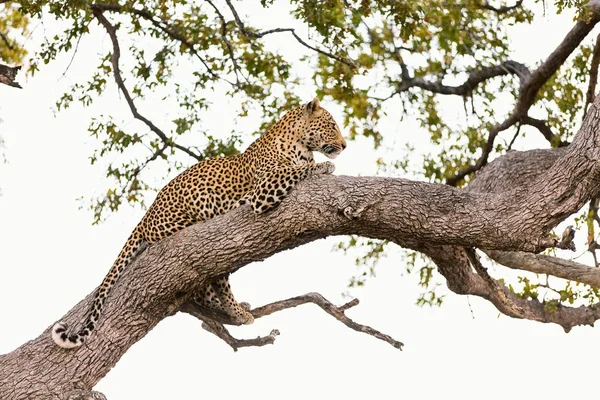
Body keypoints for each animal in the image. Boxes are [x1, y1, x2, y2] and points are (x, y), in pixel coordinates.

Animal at [54, 97, 350, 346]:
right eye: (332, 125)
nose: (345, 146)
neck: (300, 145)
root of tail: (145, 217)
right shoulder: (264, 189)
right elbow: (298, 170)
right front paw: (323, 166)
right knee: (210, 284)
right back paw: (237, 311)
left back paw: (238, 309)